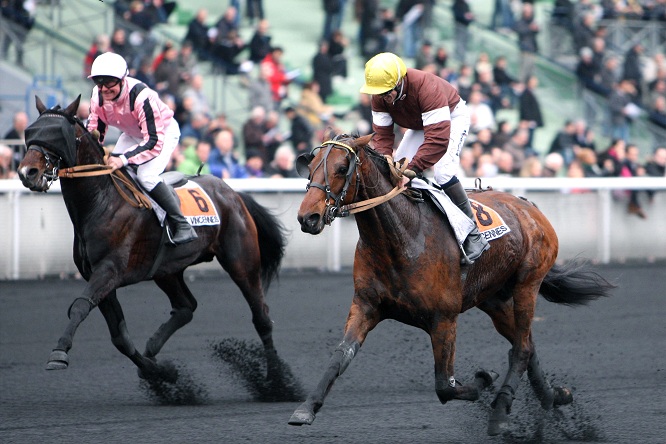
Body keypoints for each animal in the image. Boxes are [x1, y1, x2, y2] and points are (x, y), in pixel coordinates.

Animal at [16, 96, 292, 396]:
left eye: (56, 134)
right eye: (31, 132)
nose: (27, 172)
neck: (102, 202)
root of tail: (232, 193)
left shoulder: (109, 271)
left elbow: (79, 306)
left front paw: (59, 353)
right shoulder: (98, 277)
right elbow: (119, 337)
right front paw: (160, 372)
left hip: (241, 261)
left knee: (261, 315)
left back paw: (276, 382)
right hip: (167, 270)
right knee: (186, 307)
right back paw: (153, 347)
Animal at [288, 134, 616, 436]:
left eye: (342, 167)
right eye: (311, 168)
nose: (308, 217)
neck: (403, 237)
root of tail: (528, 205)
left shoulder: (443, 319)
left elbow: (444, 385)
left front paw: (484, 379)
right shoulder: (366, 305)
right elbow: (340, 355)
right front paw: (305, 408)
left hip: (528, 283)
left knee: (522, 348)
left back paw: (500, 412)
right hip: (493, 299)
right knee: (526, 344)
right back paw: (553, 396)